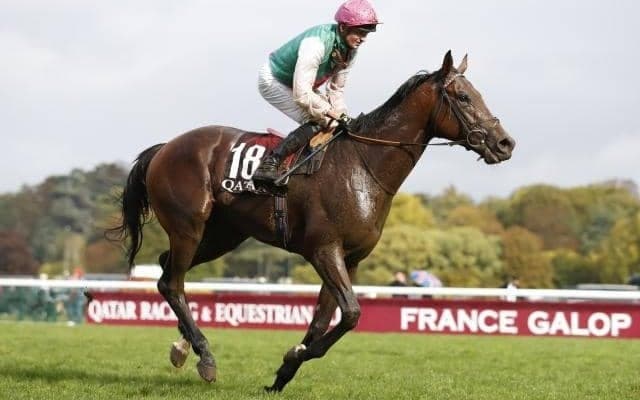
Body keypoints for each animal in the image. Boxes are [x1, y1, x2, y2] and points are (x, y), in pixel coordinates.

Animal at [110, 51, 515, 392]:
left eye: (476, 94)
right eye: (463, 97)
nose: (505, 143)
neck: (364, 165)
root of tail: (165, 148)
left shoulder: (350, 258)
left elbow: (326, 320)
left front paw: (285, 369)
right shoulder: (323, 249)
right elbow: (351, 314)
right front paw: (294, 355)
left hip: (224, 235)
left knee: (166, 272)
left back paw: (182, 346)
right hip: (188, 226)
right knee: (173, 282)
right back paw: (205, 356)